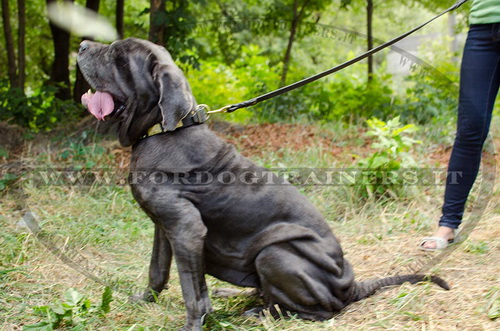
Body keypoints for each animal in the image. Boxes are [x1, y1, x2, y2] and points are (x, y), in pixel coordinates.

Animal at [78, 37, 450, 330]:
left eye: (119, 56)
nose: (80, 45)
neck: (165, 130)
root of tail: (352, 286)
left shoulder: (186, 228)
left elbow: (194, 293)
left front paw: (192, 324)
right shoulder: (164, 224)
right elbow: (157, 271)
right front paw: (144, 300)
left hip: (275, 253)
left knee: (318, 310)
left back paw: (261, 312)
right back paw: (237, 295)